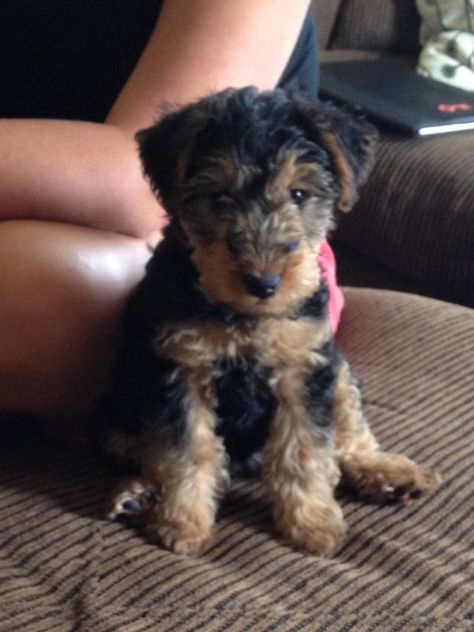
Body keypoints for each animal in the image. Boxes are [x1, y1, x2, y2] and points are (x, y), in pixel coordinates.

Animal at [95, 86, 440, 556]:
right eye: (220, 197)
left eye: (299, 194)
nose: (264, 282)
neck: (246, 317)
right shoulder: (182, 368)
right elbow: (188, 451)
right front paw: (182, 522)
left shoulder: (303, 366)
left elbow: (305, 449)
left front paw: (311, 523)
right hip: (116, 409)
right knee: (136, 449)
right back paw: (136, 494)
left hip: (338, 367)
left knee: (349, 431)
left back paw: (390, 473)